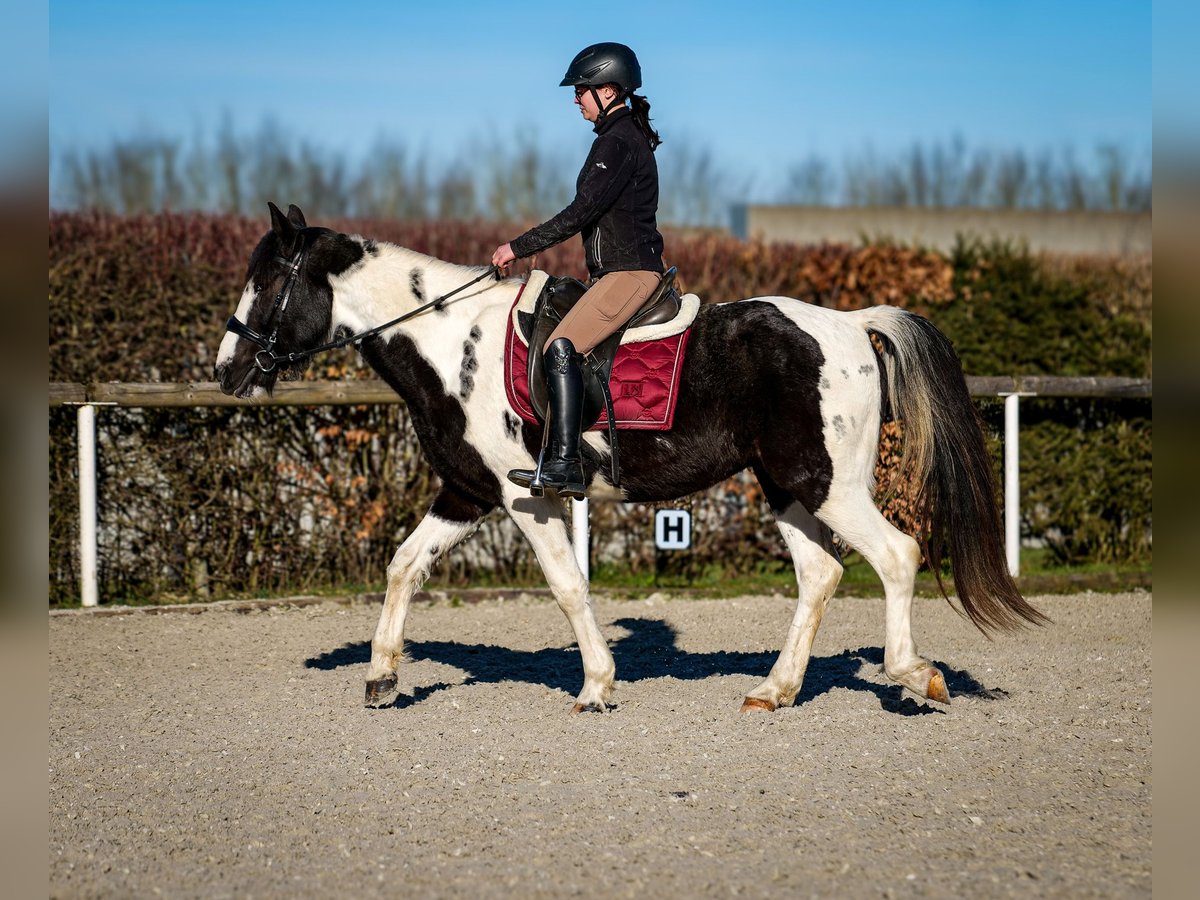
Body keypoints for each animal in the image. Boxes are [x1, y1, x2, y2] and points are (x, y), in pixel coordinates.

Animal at [220, 206, 1046, 720]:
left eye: (269, 282)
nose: (228, 371)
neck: (452, 342)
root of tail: (849, 323)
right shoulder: (466, 491)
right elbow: (403, 566)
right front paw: (382, 676)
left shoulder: (528, 498)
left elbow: (566, 587)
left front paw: (596, 687)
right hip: (786, 485)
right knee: (822, 574)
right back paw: (773, 691)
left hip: (828, 484)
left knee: (897, 556)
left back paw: (914, 674)